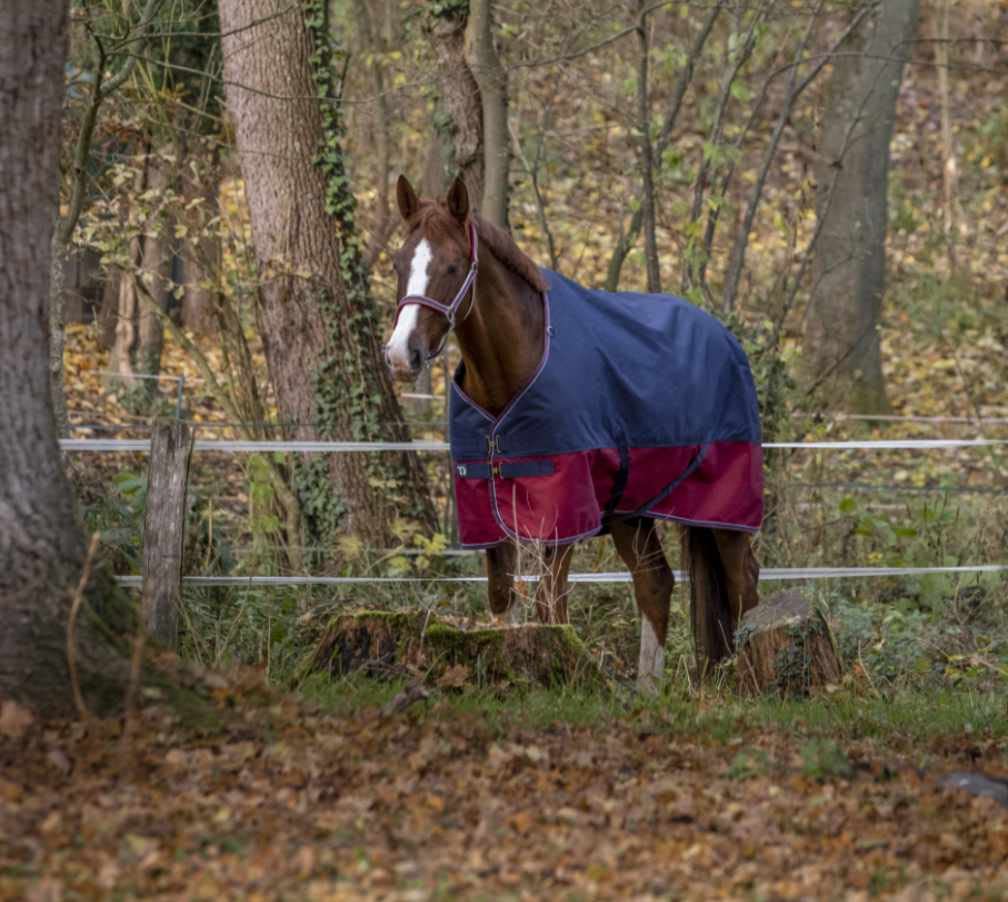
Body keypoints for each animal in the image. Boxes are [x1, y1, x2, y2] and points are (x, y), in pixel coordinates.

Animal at [384, 174, 761, 688]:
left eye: (452, 265)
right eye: (398, 263)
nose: (402, 355)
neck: (512, 376)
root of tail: (725, 338)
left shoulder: (562, 512)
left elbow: (550, 608)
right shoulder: (486, 508)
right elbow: (502, 599)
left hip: (723, 511)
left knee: (744, 585)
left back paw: (753, 681)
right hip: (629, 509)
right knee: (655, 581)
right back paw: (647, 689)